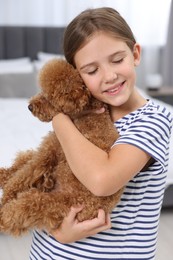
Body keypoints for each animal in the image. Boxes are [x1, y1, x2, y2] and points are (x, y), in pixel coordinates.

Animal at [0, 60, 123, 237]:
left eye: (49, 97)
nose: (30, 107)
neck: (88, 116)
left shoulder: (48, 151)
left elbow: (21, 177)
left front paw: (7, 195)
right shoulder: (48, 151)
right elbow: (22, 171)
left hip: (52, 204)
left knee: (22, 208)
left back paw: (3, 215)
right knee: (22, 160)